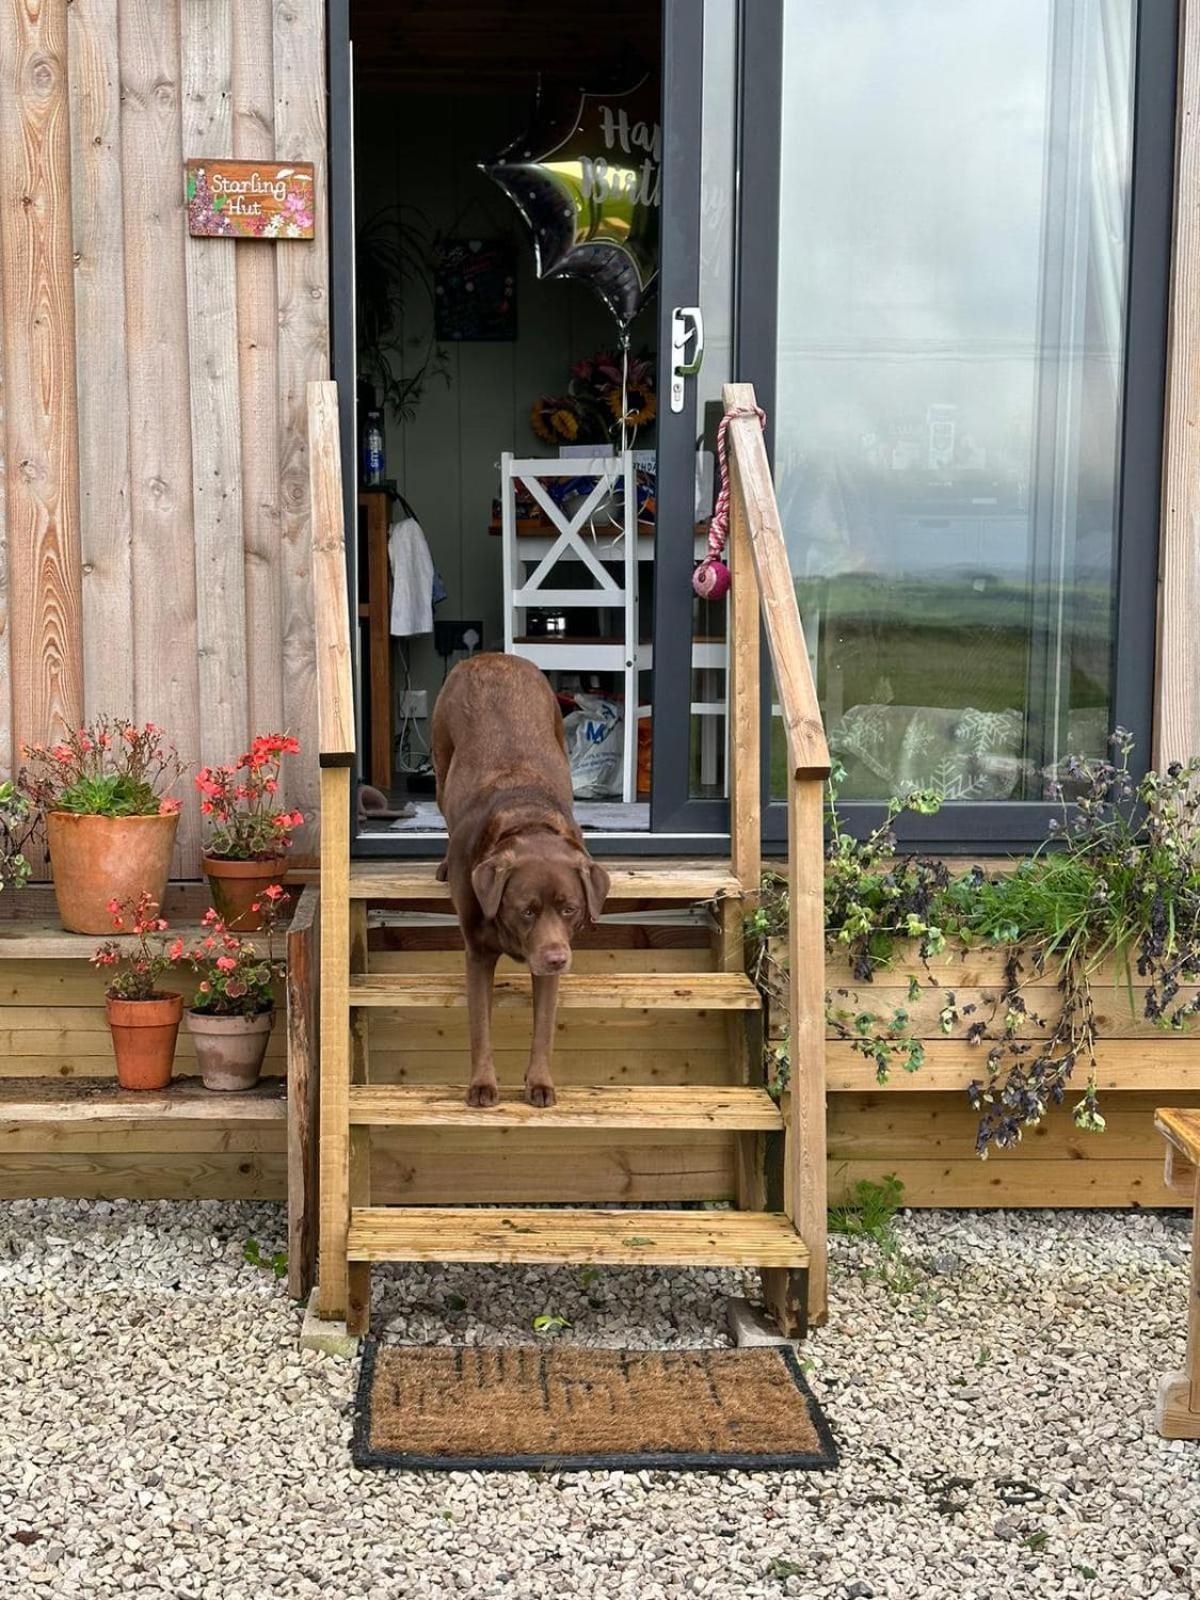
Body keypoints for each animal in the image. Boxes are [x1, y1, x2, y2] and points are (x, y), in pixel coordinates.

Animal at [432, 656, 611, 1107]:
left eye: (570, 909)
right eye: (525, 910)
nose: (557, 959)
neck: (525, 818)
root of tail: (490, 656)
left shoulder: (550, 956)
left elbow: (544, 1026)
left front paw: (540, 1083)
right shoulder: (477, 953)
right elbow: (480, 1027)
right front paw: (482, 1085)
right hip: (442, 759)